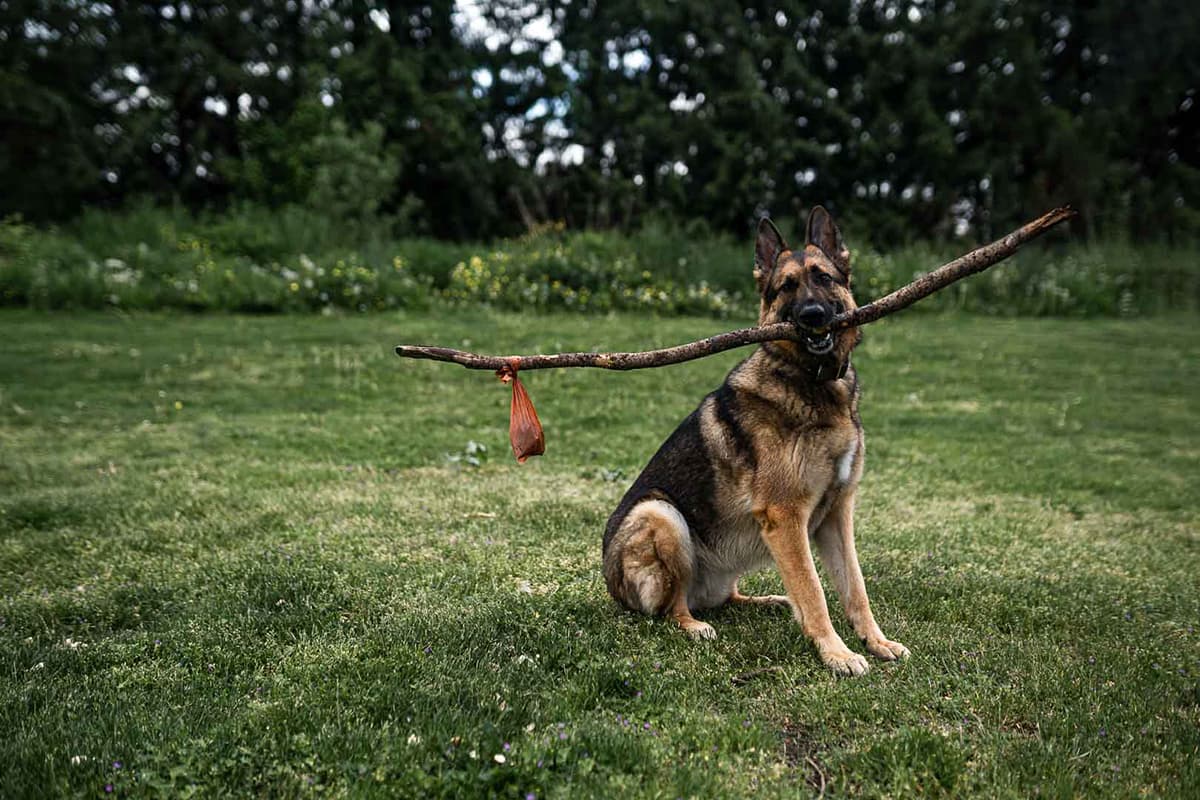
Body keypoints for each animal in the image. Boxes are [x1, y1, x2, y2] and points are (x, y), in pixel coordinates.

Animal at [604, 206, 902, 676]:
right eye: (787, 287)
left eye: (823, 278)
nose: (813, 315)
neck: (812, 384)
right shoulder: (786, 518)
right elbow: (815, 592)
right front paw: (836, 653)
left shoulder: (836, 515)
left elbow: (855, 588)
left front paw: (876, 641)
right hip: (660, 513)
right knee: (672, 607)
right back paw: (693, 625)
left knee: (731, 598)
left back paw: (767, 601)